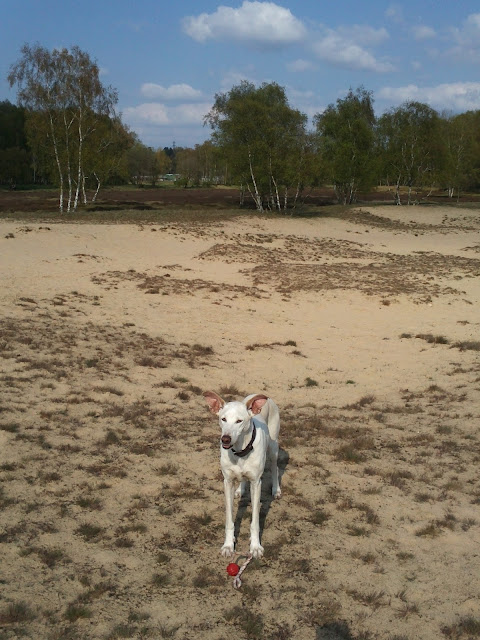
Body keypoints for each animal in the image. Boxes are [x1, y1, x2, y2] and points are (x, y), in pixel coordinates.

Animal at [203, 388, 282, 556]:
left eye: (239, 421)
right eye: (223, 419)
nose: (225, 439)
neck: (241, 450)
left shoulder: (256, 483)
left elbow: (255, 522)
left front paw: (255, 547)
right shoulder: (227, 482)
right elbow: (229, 520)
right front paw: (228, 545)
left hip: (273, 446)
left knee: (275, 467)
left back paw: (276, 489)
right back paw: (240, 490)